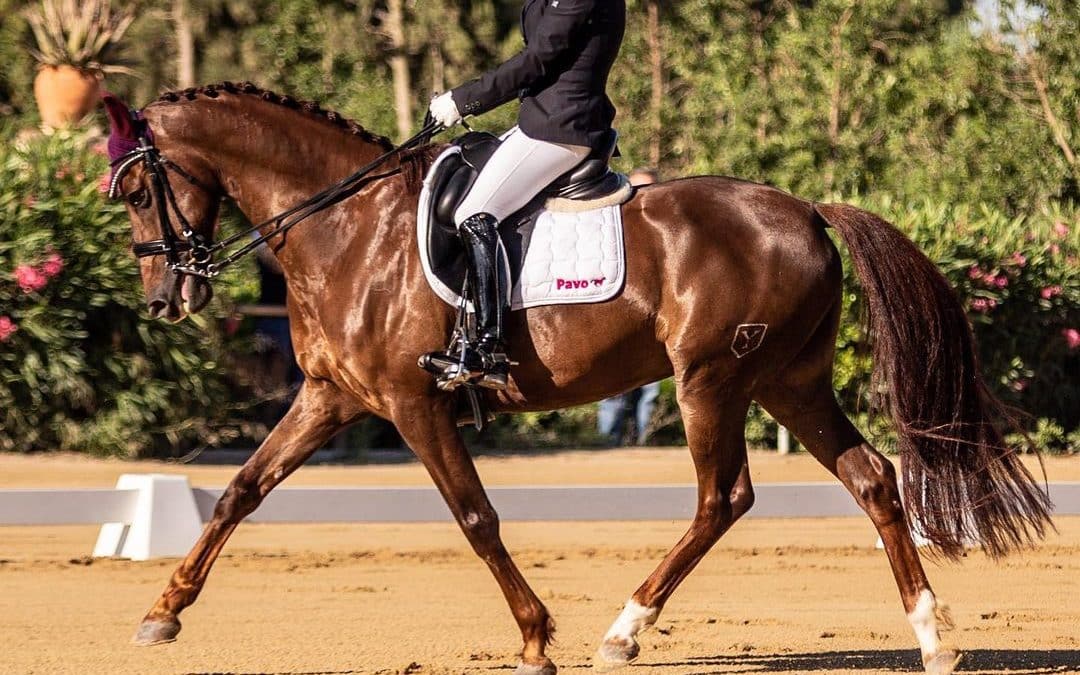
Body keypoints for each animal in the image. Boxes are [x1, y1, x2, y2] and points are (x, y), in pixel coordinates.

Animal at [105, 84, 1049, 673]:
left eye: (139, 191)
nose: (163, 298)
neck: (347, 227)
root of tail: (811, 210)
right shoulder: (331, 395)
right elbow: (240, 489)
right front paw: (163, 611)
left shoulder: (412, 402)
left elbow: (477, 518)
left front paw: (534, 639)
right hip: (791, 382)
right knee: (871, 477)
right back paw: (934, 637)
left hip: (711, 380)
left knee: (724, 498)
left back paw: (625, 630)